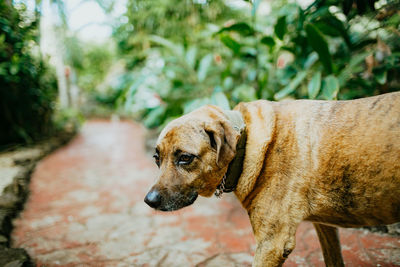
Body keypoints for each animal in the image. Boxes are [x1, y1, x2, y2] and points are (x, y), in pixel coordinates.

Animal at [145, 91, 400, 266]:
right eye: (156, 158)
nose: (149, 200)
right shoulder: (325, 226)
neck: (245, 142)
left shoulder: (271, 245)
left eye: (185, 158)